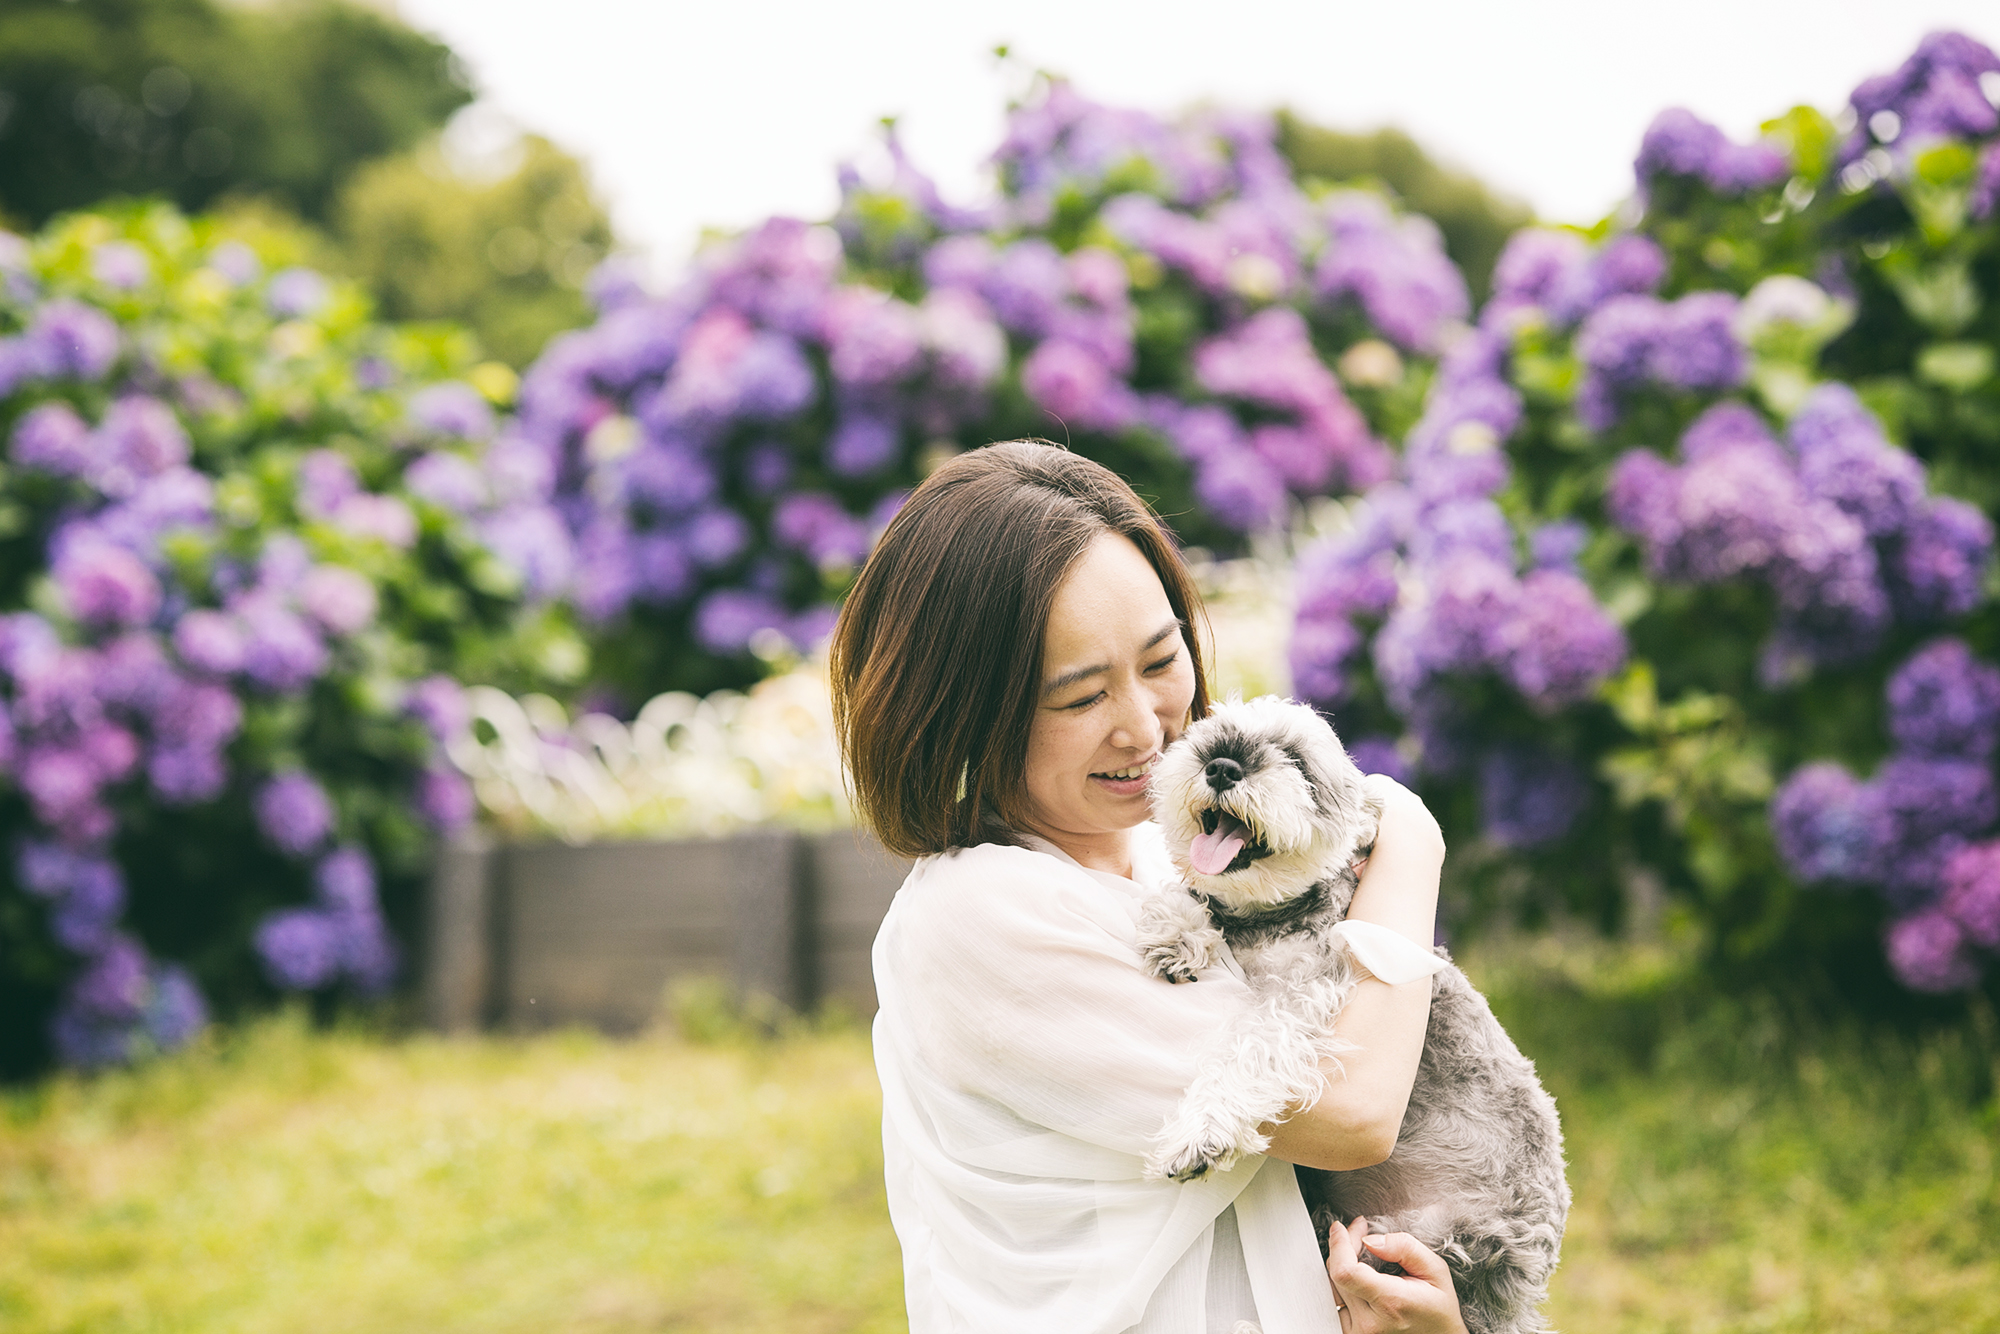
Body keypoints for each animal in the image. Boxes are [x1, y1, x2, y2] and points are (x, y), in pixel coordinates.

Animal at [1136, 700, 1568, 1334]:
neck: (1265, 920)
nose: (1220, 765)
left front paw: (1202, 1133)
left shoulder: (1305, 996)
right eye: (1206, 735)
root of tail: (1518, 1291)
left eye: (1296, 760)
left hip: (1428, 1238)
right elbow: (1195, 896)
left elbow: (1250, 1049)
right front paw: (1176, 930)